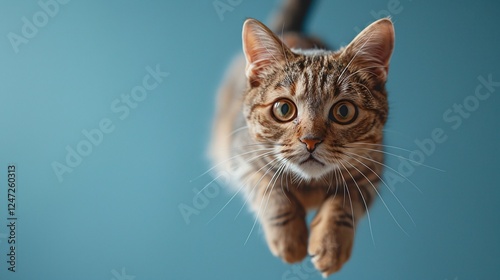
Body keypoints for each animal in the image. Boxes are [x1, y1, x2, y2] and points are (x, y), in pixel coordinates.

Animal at [208, 0, 394, 276]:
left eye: (344, 111)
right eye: (284, 109)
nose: (310, 141)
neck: (309, 185)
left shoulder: (372, 168)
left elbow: (345, 202)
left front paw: (331, 244)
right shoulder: (243, 156)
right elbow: (271, 192)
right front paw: (289, 239)